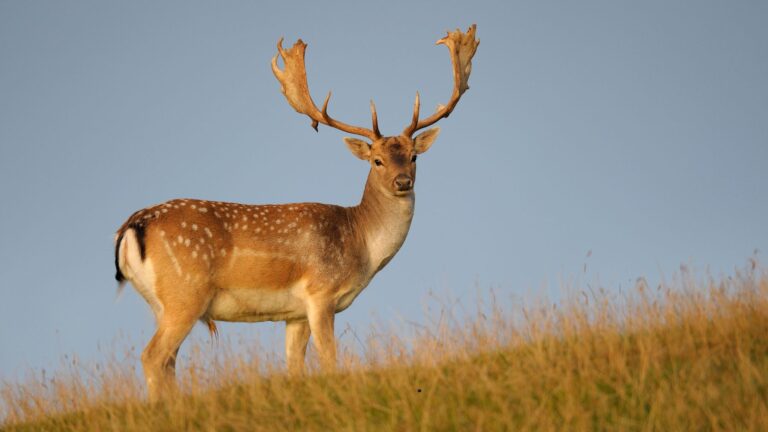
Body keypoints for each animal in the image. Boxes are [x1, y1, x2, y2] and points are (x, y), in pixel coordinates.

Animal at [113, 25, 478, 401]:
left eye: (413, 156)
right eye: (376, 160)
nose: (402, 181)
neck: (361, 245)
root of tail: (132, 226)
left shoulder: (295, 314)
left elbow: (294, 368)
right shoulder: (320, 294)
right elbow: (330, 360)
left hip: (161, 304)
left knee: (168, 361)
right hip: (184, 294)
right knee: (153, 357)